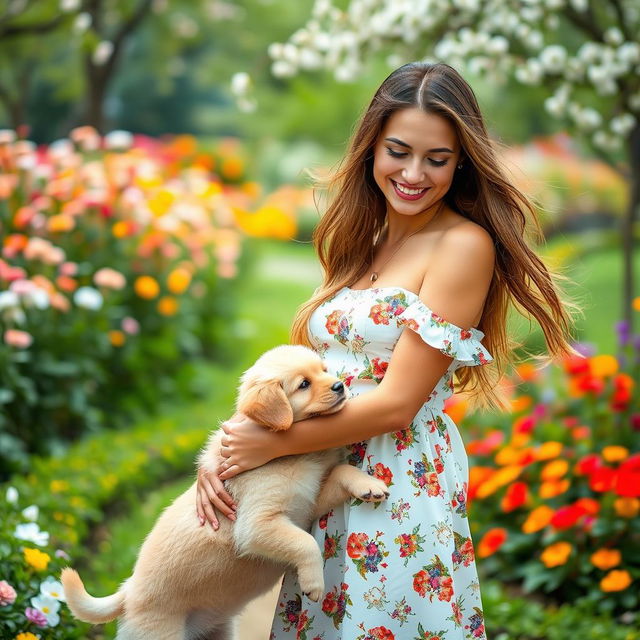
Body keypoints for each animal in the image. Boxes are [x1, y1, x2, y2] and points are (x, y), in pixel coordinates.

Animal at [61, 344, 390, 640]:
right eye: (304, 384)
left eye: (323, 370)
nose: (339, 386)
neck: (294, 454)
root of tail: (128, 591)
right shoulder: (258, 524)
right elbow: (305, 542)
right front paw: (314, 583)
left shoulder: (307, 504)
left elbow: (339, 471)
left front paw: (369, 484)